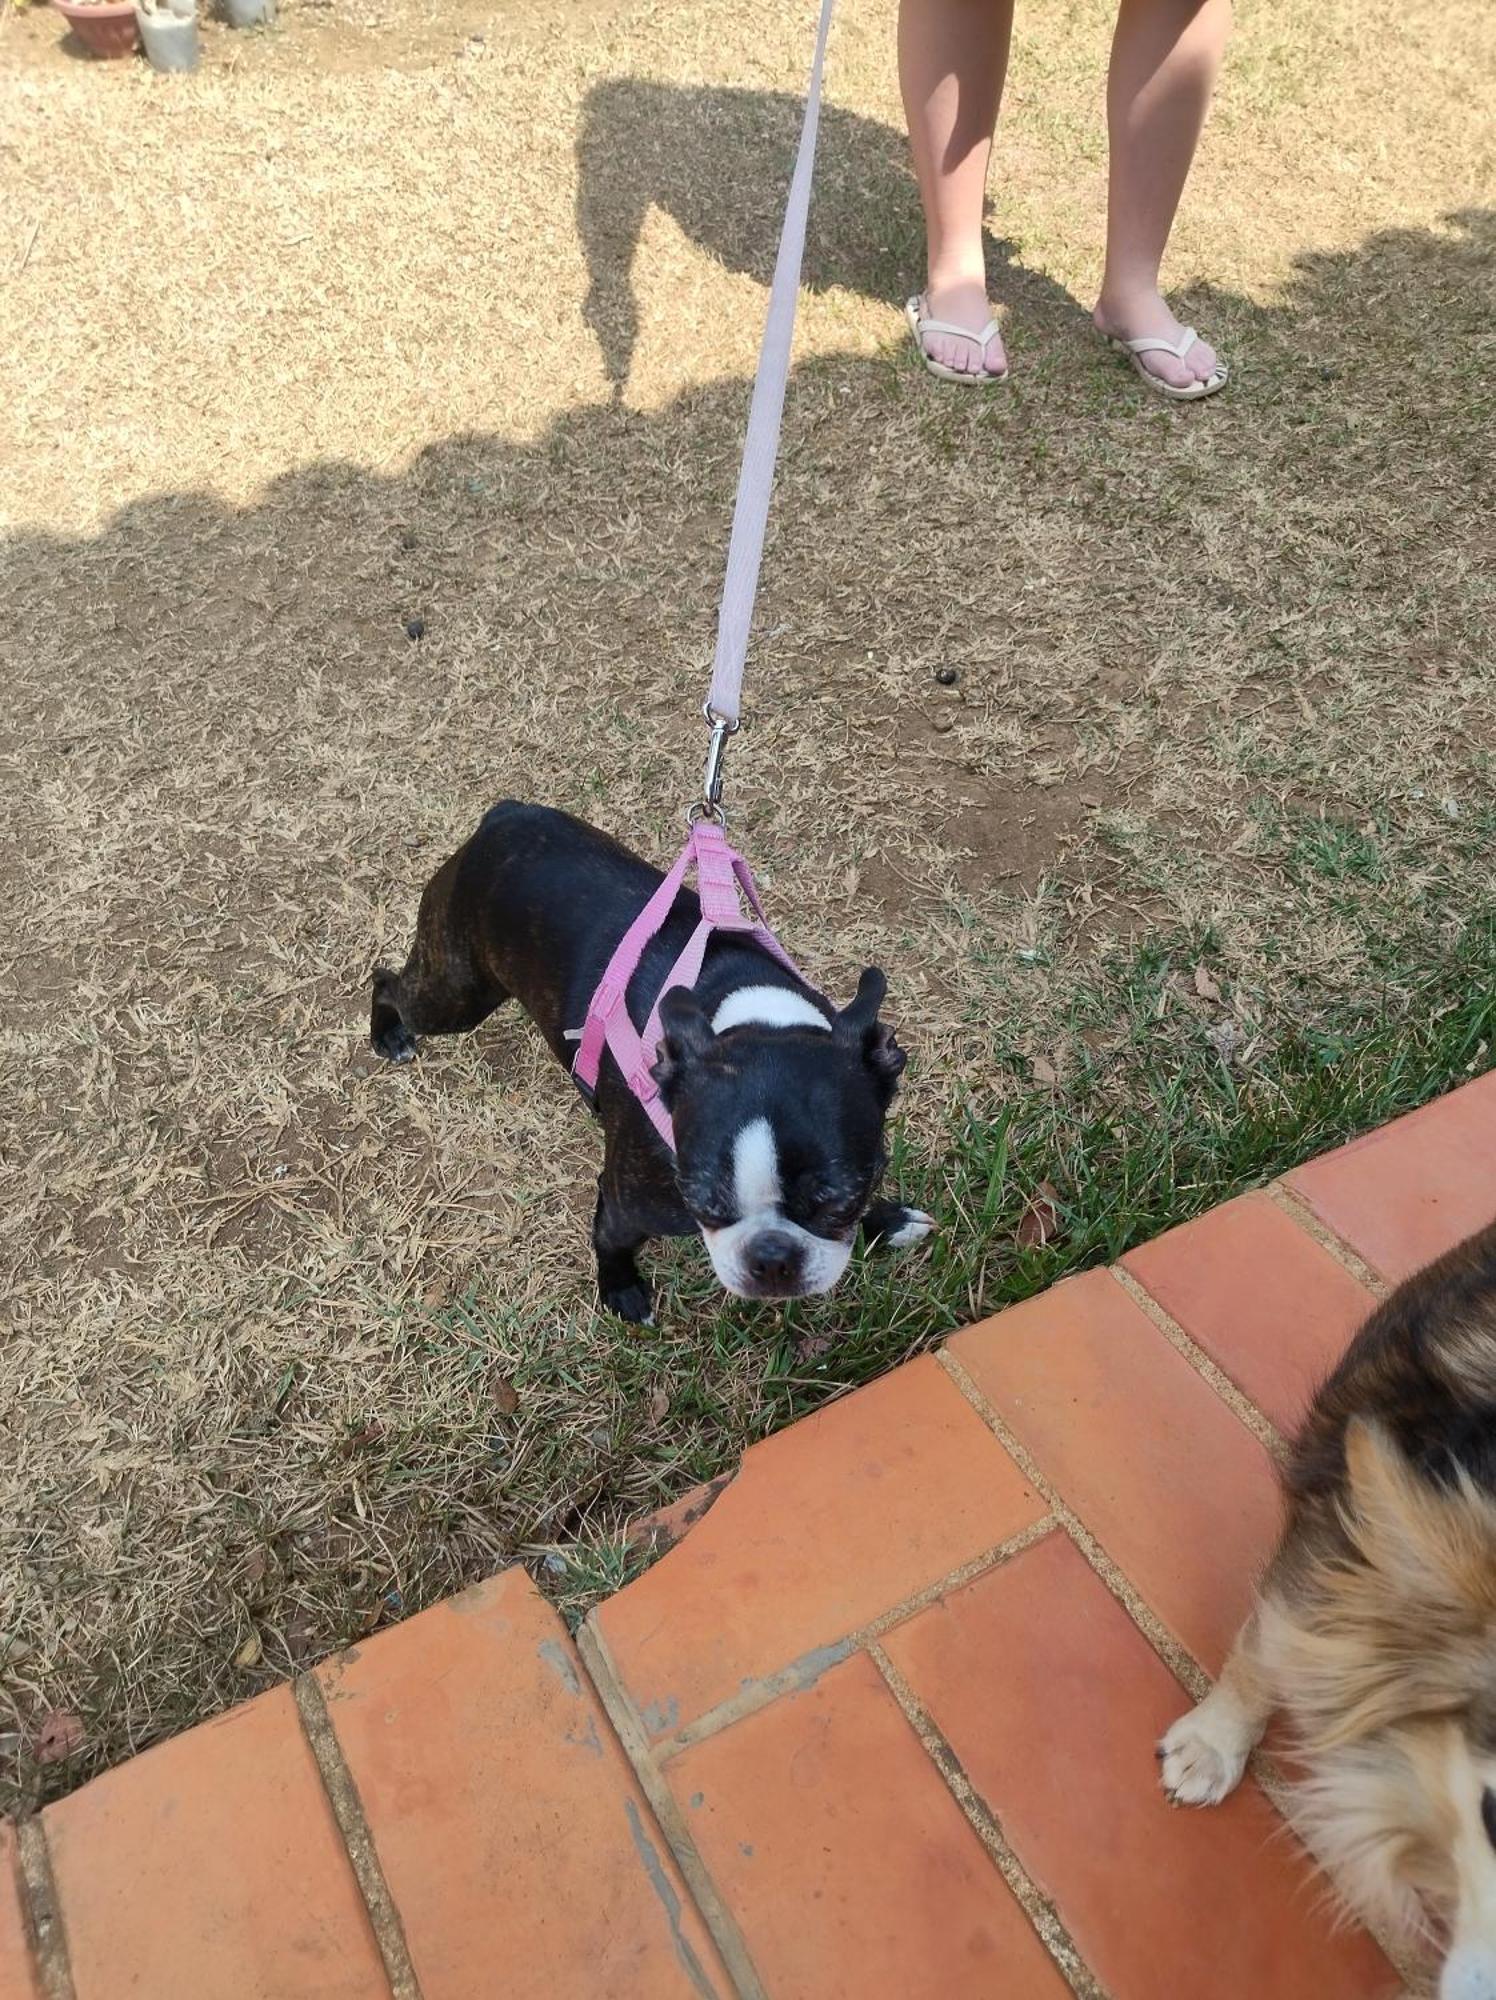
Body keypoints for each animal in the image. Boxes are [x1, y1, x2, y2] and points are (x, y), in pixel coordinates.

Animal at [372, 804, 936, 1320]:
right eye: (702, 1203)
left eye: (842, 1200)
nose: (773, 1257)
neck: (754, 1014)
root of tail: (503, 817)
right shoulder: (628, 1200)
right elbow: (611, 1239)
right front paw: (620, 1289)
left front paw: (886, 1221)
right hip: (455, 993)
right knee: (388, 982)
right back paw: (388, 1034)